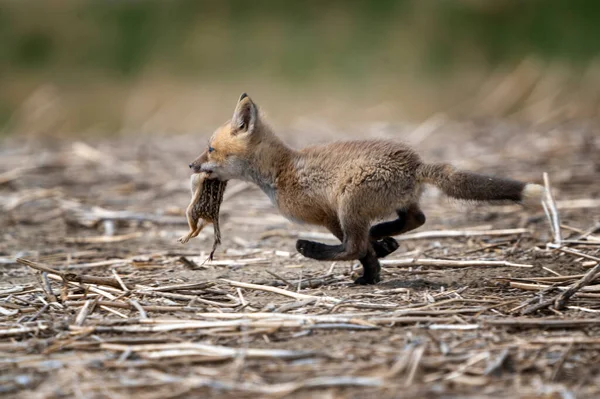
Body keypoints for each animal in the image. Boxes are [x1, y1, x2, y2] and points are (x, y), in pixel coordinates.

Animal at [190, 94, 548, 284]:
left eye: (209, 149)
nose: (191, 166)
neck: (281, 171)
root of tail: (415, 163)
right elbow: (370, 250)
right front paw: (378, 263)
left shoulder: (329, 215)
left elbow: (360, 251)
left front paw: (371, 274)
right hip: (393, 203)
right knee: (415, 219)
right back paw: (382, 235)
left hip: (350, 203)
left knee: (355, 244)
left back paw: (315, 250)